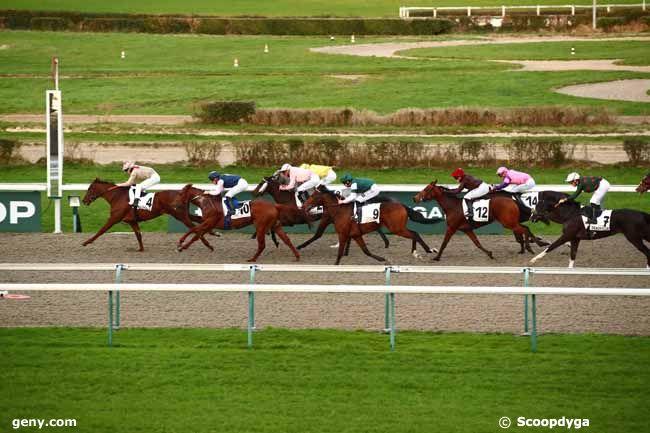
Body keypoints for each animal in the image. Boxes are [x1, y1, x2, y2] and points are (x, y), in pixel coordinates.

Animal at [82, 177, 214, 251]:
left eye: (89, 189)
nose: (84, 201)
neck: (117, 196)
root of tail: (182, 193)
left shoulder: (114, 218)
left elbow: (101, 230)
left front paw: (86, 242)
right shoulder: (132, 221)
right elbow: (138, 235)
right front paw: (141, 249)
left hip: (180, 215)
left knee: (194, 227)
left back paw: (207, 244)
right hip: (181, 214)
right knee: (199, 221)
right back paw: (212, 234)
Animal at [171, 182, 300, 260]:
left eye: (180, 193)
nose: (174, 205)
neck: (205, 202)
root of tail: (274, 205)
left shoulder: (209, 222)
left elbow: (194, 230)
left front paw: (181, 244)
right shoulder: (207, 223)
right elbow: (197, 233)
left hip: (260, 226)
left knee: (262, 244)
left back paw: (252, 259)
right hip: (275, 225)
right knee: (287, 240)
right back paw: (297, 256)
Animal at [302, 187, 436, 264]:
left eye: (312, 196)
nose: (304, 206)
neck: (340, 210)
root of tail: (402, 205)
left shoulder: (343, 234)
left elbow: (340, 253)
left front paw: (336, 264)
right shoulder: (355, 234)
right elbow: (366, 251)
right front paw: (383, 259)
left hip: (397, 228)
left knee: (414, 234)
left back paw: (427, 250)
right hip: (398, 228)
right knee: (414, 234)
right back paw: (417, 252)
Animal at [412, 180, 544, 260]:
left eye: (426, 189)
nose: (415, 198)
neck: (452, 206)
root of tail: (512, 200)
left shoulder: (451, 227)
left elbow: (444, 243)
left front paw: (437, 257)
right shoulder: (466, 229)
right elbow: (477, 243)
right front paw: (490, 254)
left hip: (508, 223)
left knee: (524, 229)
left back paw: (535, 245)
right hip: (511, 222)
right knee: (525, 228)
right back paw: (533, 245)